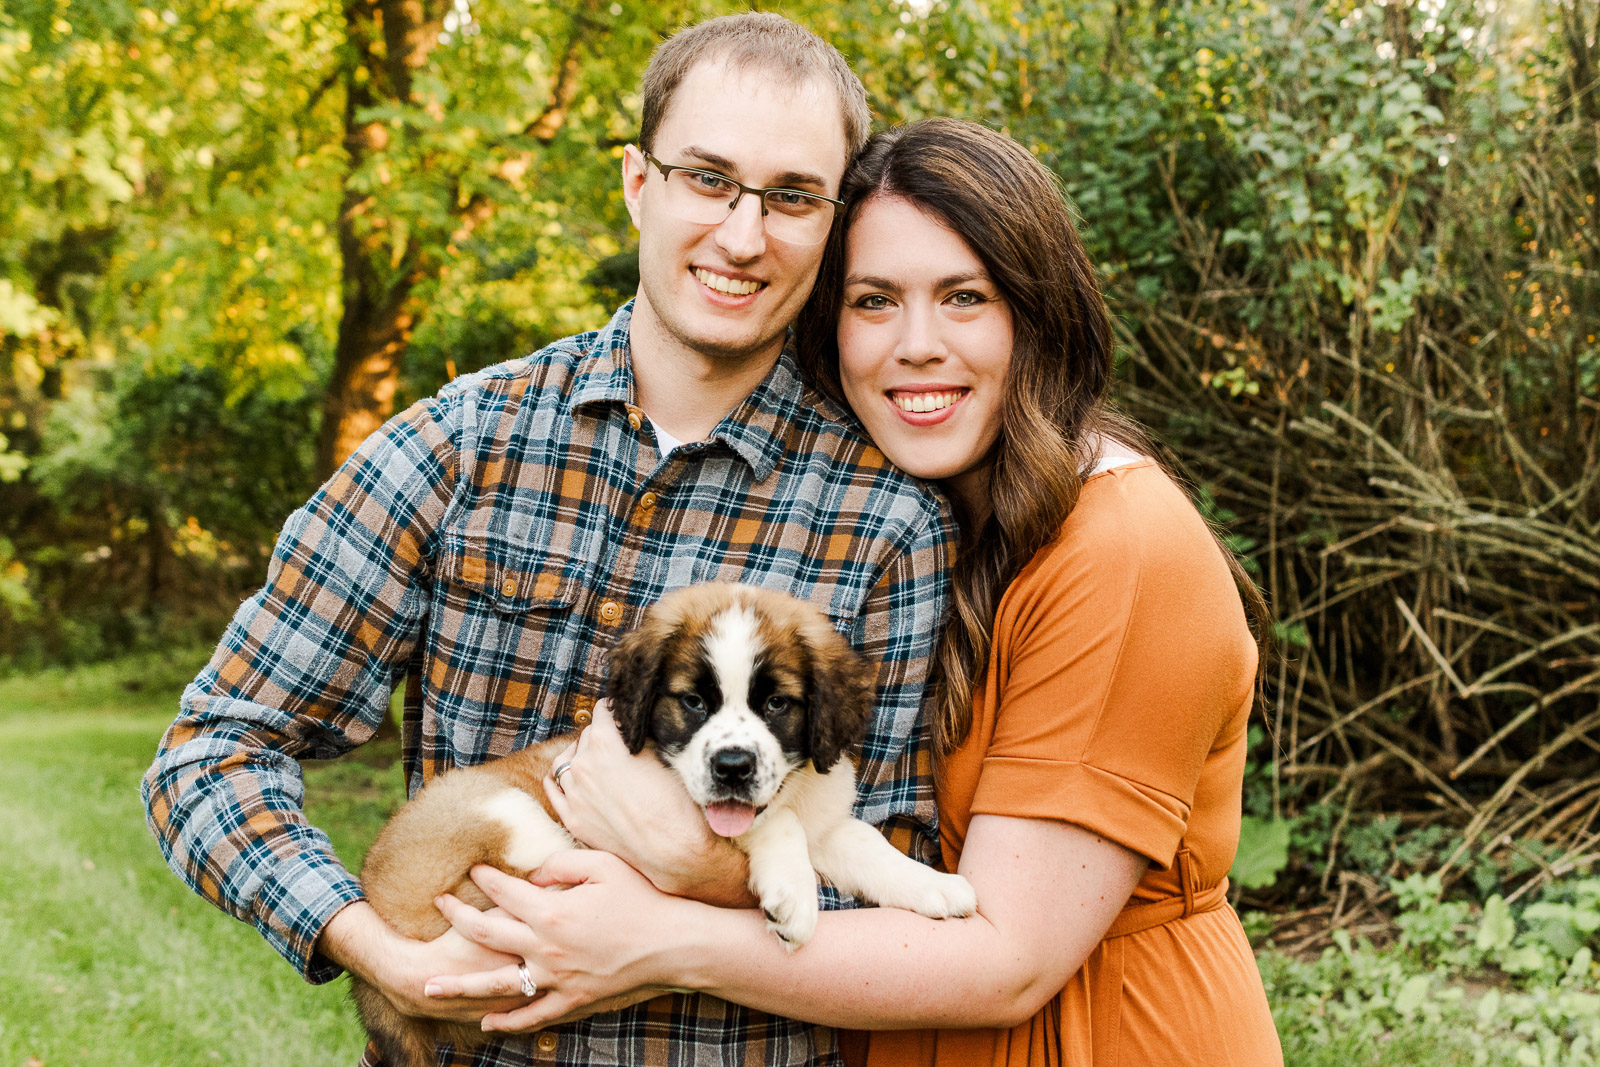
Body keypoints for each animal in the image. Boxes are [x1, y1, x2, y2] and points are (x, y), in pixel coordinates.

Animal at [352, 585, 972, 1067]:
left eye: (777, 704)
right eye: (693, 701)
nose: (733, 767)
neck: (793, 790)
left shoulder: (824, 822)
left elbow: (863, 841)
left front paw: (933, 885)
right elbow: (773, 825)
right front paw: (793, 897)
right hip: (497, 811)